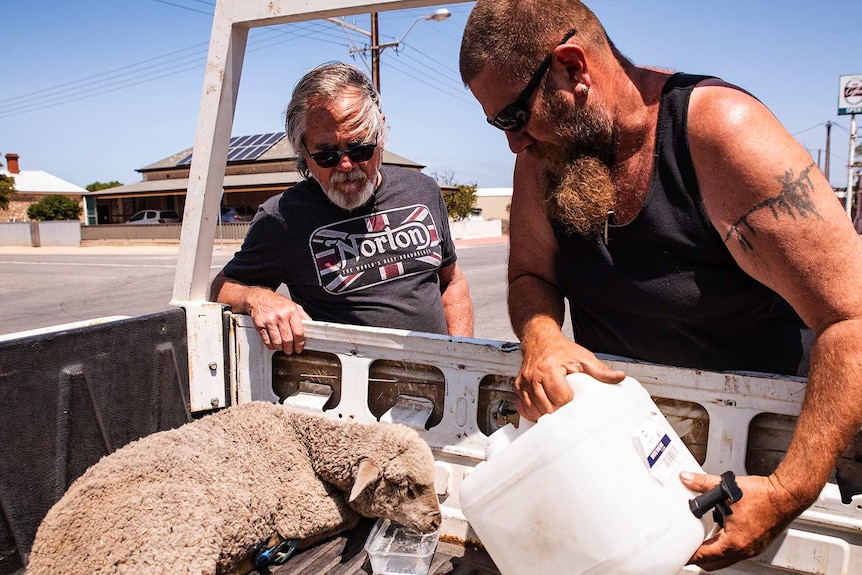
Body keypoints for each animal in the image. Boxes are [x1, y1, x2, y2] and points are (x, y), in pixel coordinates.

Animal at [27, 400, 442, 575]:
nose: (438, 522)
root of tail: (42, 559)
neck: (301, 436)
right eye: (405, 485)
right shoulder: (303, 508)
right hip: (172, 544)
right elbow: (349, 517)